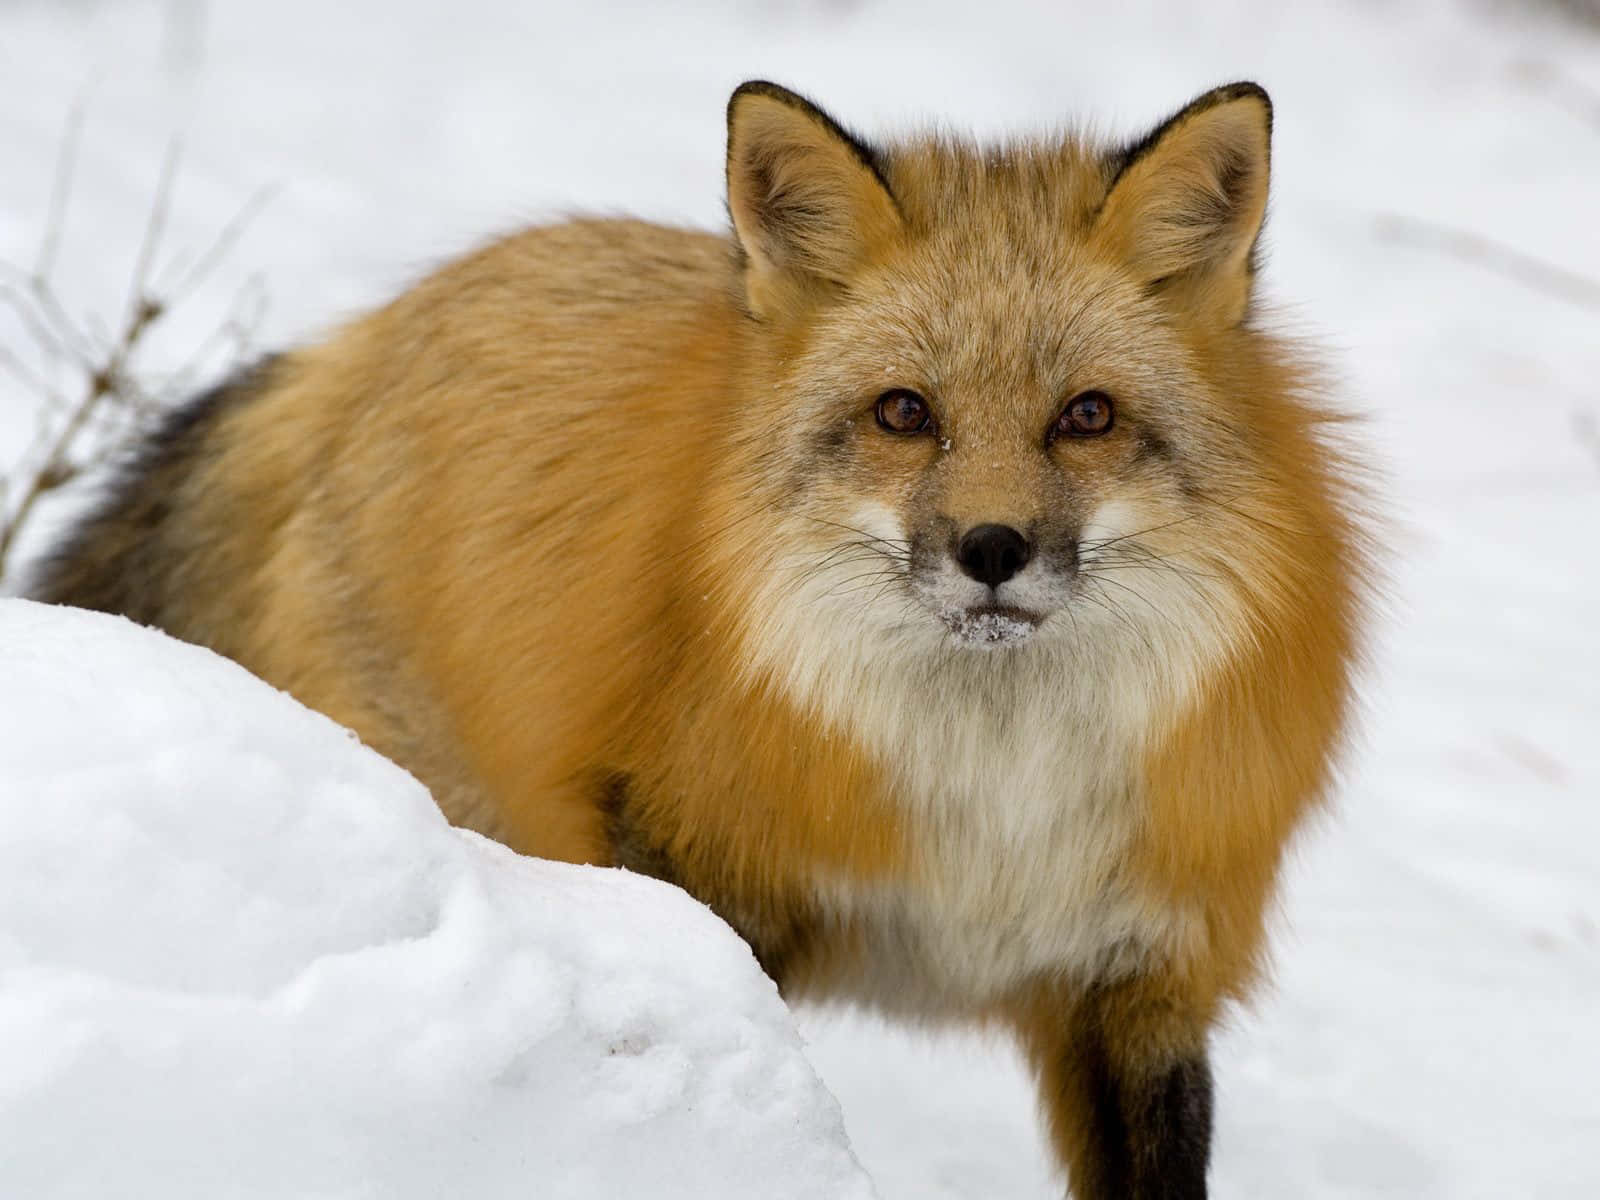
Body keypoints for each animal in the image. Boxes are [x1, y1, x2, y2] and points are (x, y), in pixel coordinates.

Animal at [31, 80, 1368, 1197]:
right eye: (905, 414)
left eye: (1086, 416)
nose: (991, 548)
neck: (991, 801)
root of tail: (370, 331)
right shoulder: (699, 869)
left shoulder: (1137, 976)